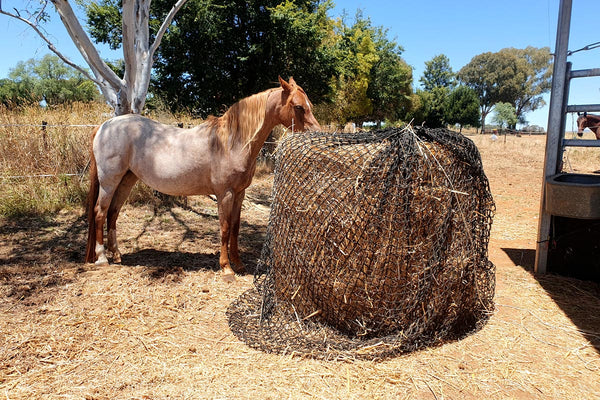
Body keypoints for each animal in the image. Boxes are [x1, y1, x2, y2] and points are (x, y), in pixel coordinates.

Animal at [85, 76, 322, 282]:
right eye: (298, 107)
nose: (317, 134)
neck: (231, 142)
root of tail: (104, 127)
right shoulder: (225, 194)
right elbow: (225, 228)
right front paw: (226, 268)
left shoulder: (239, 194)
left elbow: (235, 228)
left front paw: (239, 264)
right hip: (109, 182)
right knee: (100, 212)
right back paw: (102, 258)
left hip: (126, 180)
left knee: (113, 213)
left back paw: (117, 255)